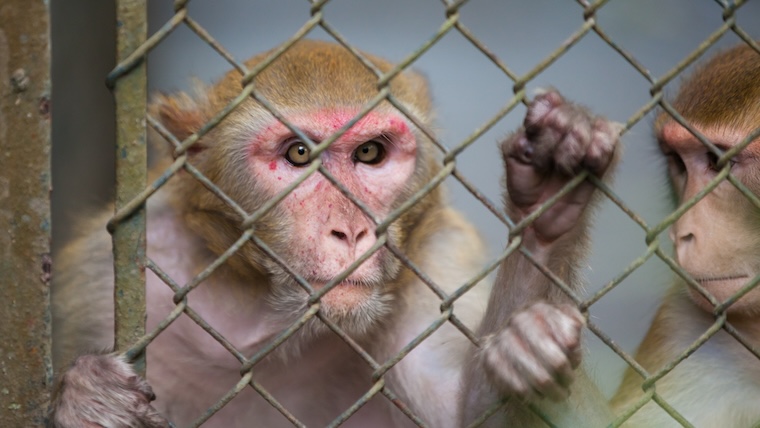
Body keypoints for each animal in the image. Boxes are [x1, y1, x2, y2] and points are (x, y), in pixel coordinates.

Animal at [50, 39, 618, 427]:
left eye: (369, 152)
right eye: (299, 154)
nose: (351, 231)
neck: (266, 313)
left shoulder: (436, 258)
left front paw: (549, 196)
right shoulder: (105, 276)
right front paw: (87, 401)